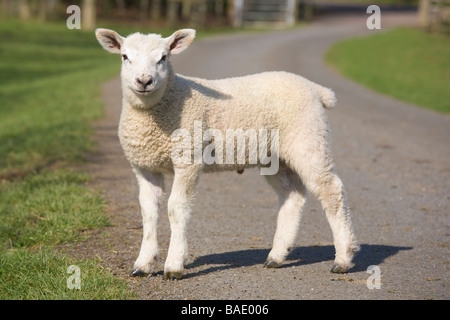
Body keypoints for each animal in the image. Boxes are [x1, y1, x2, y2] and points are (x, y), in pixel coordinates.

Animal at [95, 28, 358, 280]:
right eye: (125, 56)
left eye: (163, 58)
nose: (144, 81)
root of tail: (316, 89)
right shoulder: (144, 167)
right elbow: (148, 212)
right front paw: (143, 264)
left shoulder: (189, 159)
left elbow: (176, 208)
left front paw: (174, 265)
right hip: (276, 156)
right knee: (292, 196)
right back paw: (276, 256)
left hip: (309, 140)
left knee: (331, 191)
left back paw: (343, 259)